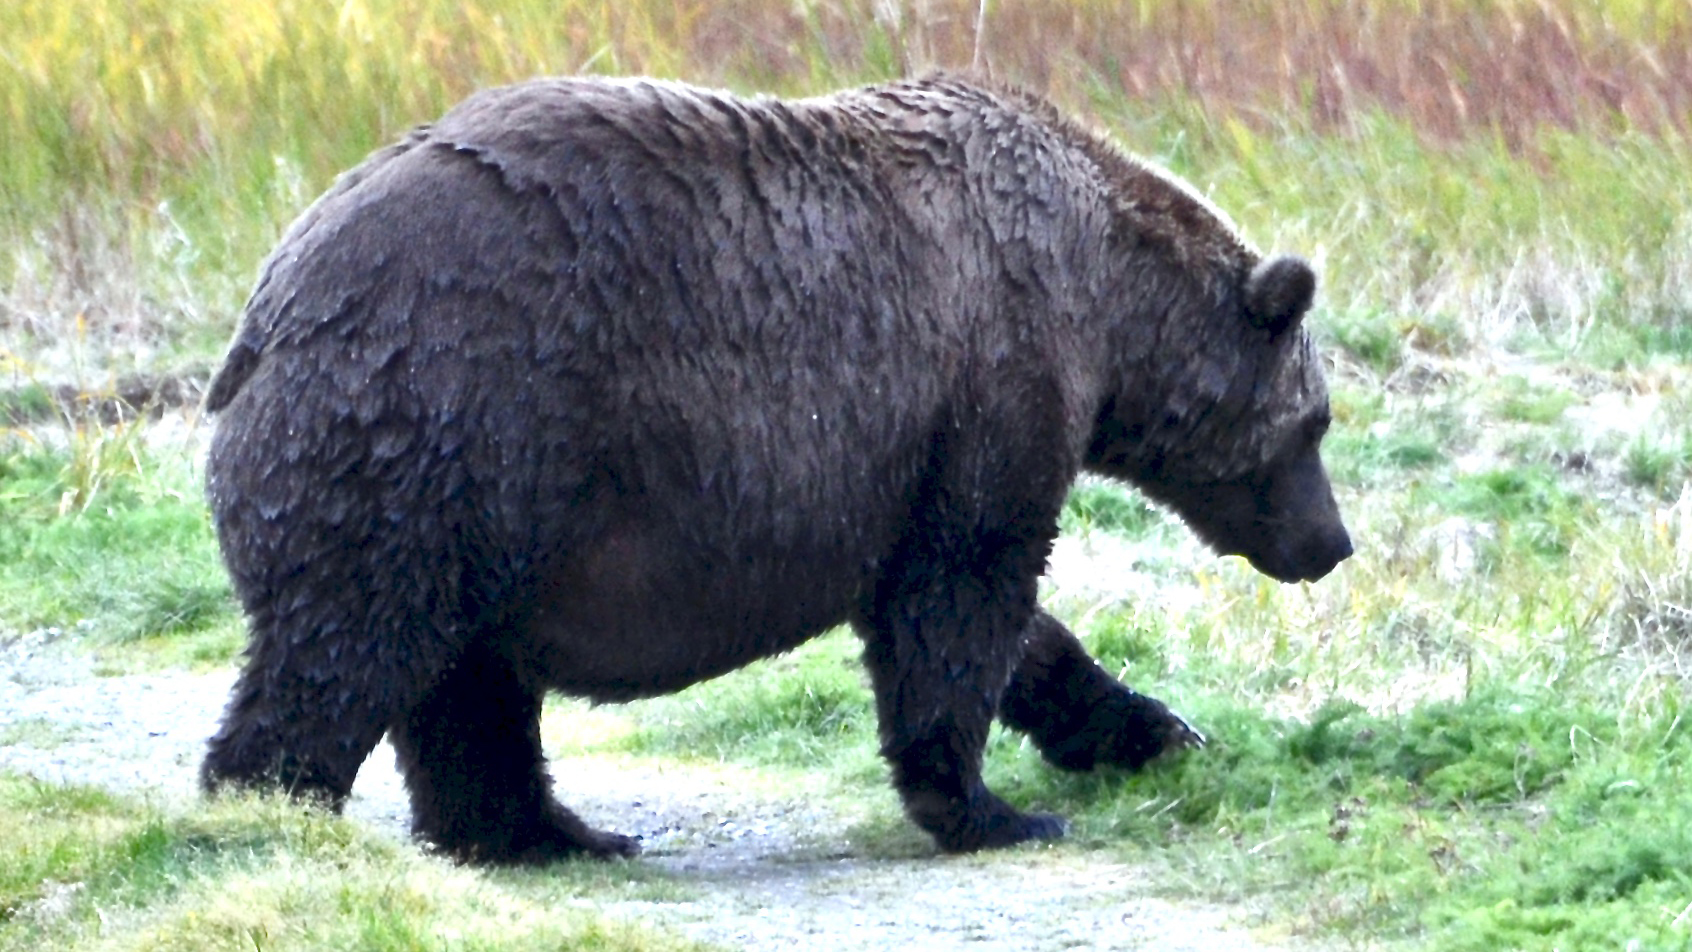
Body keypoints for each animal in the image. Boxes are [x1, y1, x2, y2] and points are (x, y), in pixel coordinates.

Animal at [204, 74, 1353, 865]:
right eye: (1317, 422)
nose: (1333, 542)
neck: (1108, 304)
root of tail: (269, 309)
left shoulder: (910, 462)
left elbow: (1002, 620)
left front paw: (1150, 727)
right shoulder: (993, 381)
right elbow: (964, 599)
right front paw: (995, 809)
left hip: (481, 504)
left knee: (465, 685)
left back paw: (556, 834)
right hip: (444, 423)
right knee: (348, 647)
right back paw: (274, 817)